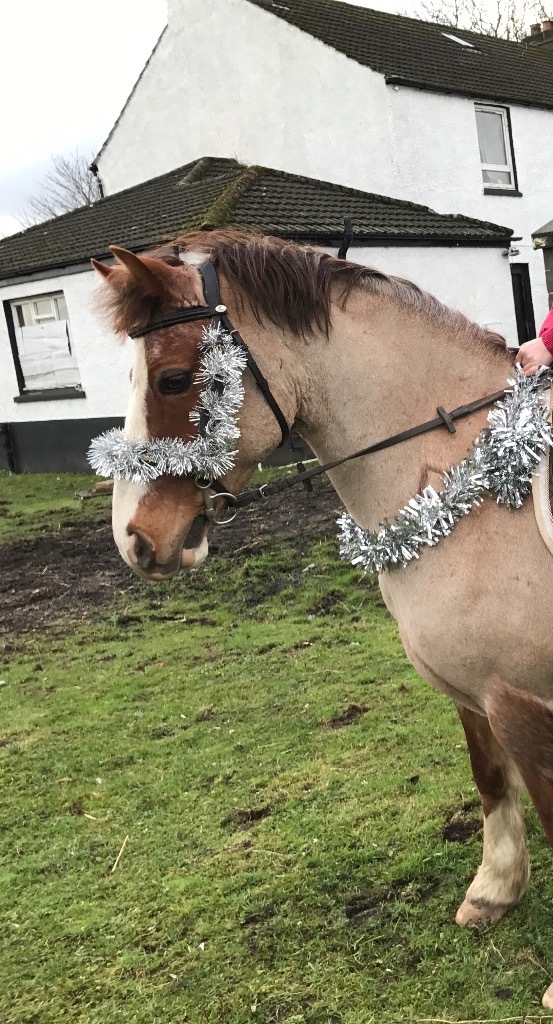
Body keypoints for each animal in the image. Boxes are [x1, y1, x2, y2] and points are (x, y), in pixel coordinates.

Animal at [91, 230, 553, 1008]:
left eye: (176, 380)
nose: (135, 540)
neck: (474, 485)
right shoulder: (473, 693)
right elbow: (489, 778)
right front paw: (494, 890)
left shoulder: (523, 700)